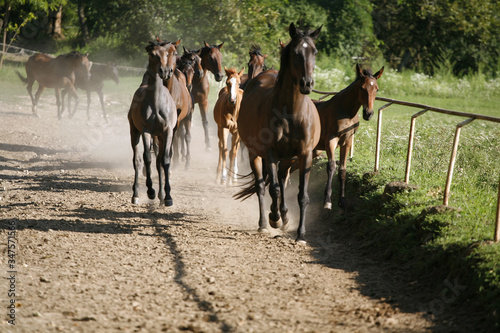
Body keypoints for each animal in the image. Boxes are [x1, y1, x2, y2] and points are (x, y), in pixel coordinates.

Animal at [129, 40, 178, 205]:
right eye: (152, 54)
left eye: (167, 54)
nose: (165, 71)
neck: (156, 103)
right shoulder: (146, 131)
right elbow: (147, 159)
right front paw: (150, 191)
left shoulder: (167, 131)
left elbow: (165, 160)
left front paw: (168, 196)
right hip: (134, 132)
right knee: (137, 160)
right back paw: (136, 195)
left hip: (159, 136)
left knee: (158, 161)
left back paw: (162, 195)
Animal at [236, 22, 322, 243]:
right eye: (295, 52)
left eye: (314, 51)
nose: (307, 83)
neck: (291, 113)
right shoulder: (271, 153)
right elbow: (272, 188)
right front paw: (273, 218)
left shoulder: (304, 154)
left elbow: (302, 195)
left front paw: (300, 234)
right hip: (255, 154)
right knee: (261, 186)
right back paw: (265, 223)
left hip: (289, 158)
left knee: (283, 180)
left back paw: (284, 216)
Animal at [316, 63, 382, 209]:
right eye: (362, 88)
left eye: (377, 89)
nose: (368, 113)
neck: (345, 112)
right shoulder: (331, 140)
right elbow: (331, 166)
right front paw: (327, 200)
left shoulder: (347, 141)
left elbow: (342, 170)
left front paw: (342, 200)